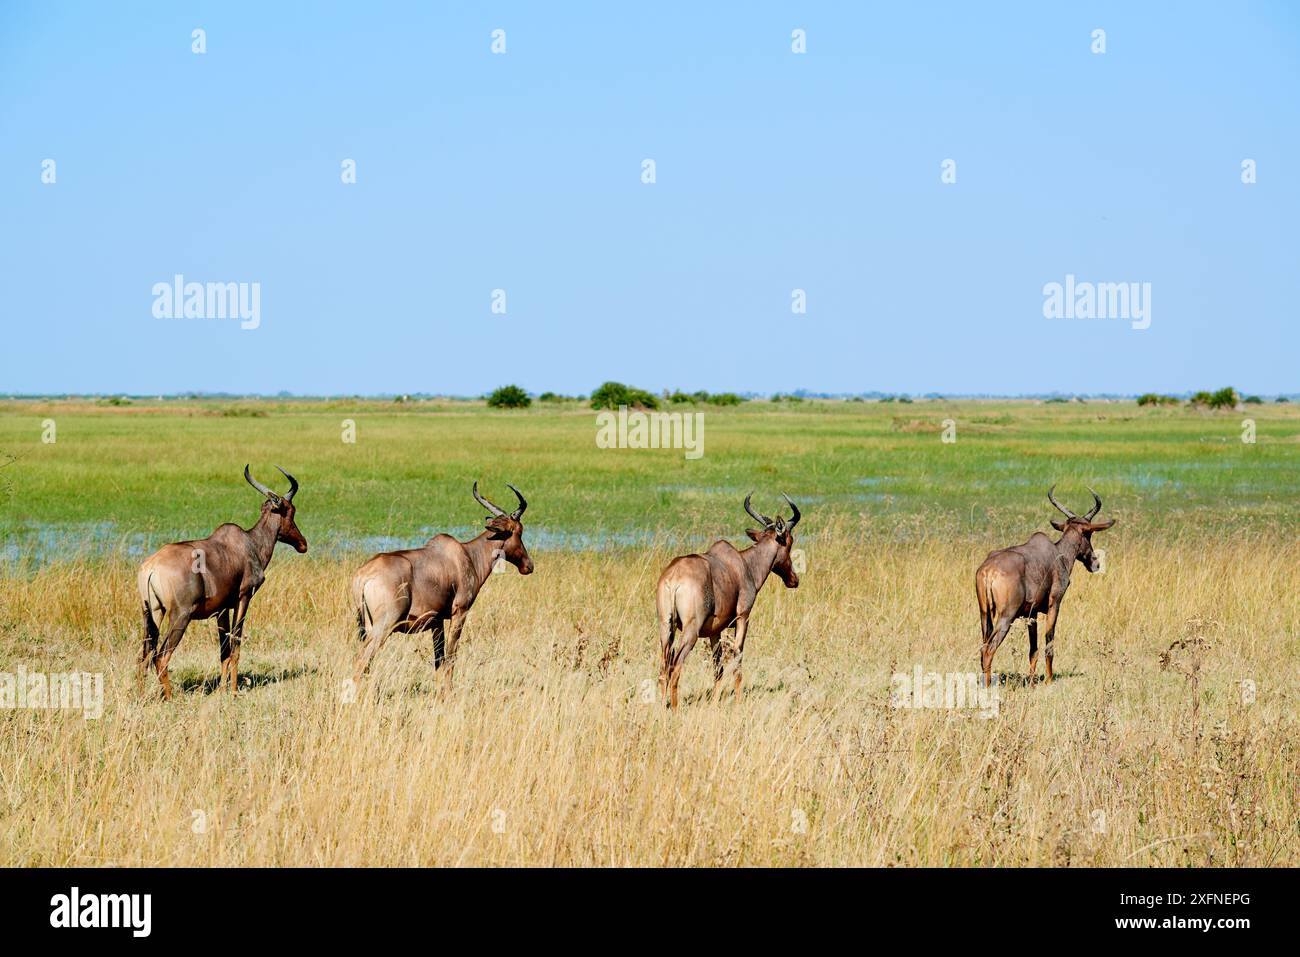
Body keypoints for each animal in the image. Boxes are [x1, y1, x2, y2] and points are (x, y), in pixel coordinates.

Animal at [136, 468, 306, 696]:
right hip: (180, 616)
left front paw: (222, 690)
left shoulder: (221, 609)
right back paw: (169, 698)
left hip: (153, 613)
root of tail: (151, 568)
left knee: (143, 655)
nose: (303, 544)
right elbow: (235, 644)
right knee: (161, 656)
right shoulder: (243, 598)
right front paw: (233, 692)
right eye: (290, 510)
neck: (247, 543)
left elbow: (223, 650)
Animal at [351, 481, 533, 691]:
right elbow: (451, 657)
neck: (466, 554)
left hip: (366, 626)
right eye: (518, 531)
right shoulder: (459, 612)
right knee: (362, 661)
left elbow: (439, 660)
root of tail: (363, 576)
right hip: (384, 626)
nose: (528, 566)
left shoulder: (436, 621)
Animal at [650, 494, 800, 712]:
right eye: (789, 541)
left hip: (665, 626)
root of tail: (674, 577)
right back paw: (676, 710)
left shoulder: (714, 631)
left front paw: (714, 702)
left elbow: (717, 668)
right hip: (691, 630)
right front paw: (738, 702)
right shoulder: (743, 616)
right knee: (676, 667)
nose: (793, 580)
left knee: (663, 669)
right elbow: (738, 657)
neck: (742, 563)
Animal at [977, 486, 1112, 686]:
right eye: (1088, 533)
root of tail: (988, 570)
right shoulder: (1054, 603)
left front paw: (1032, 683)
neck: (1056, 552)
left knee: (982, 647)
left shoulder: (1031, 614)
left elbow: (1033, 650)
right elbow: (1049, 641)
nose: (1095, 564)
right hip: (1006, 617)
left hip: (984, 615)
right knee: (988, 650)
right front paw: (1048, 680)